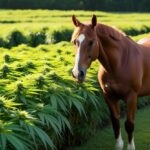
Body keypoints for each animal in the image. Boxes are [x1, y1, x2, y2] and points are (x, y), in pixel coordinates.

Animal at [71, 14, 150, 150]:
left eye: (91, 42)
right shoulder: (108, 96)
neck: (120, 63)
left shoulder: (132, 97)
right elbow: (115, 121)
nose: (77, 73)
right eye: (75, 41)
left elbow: (129, 124)